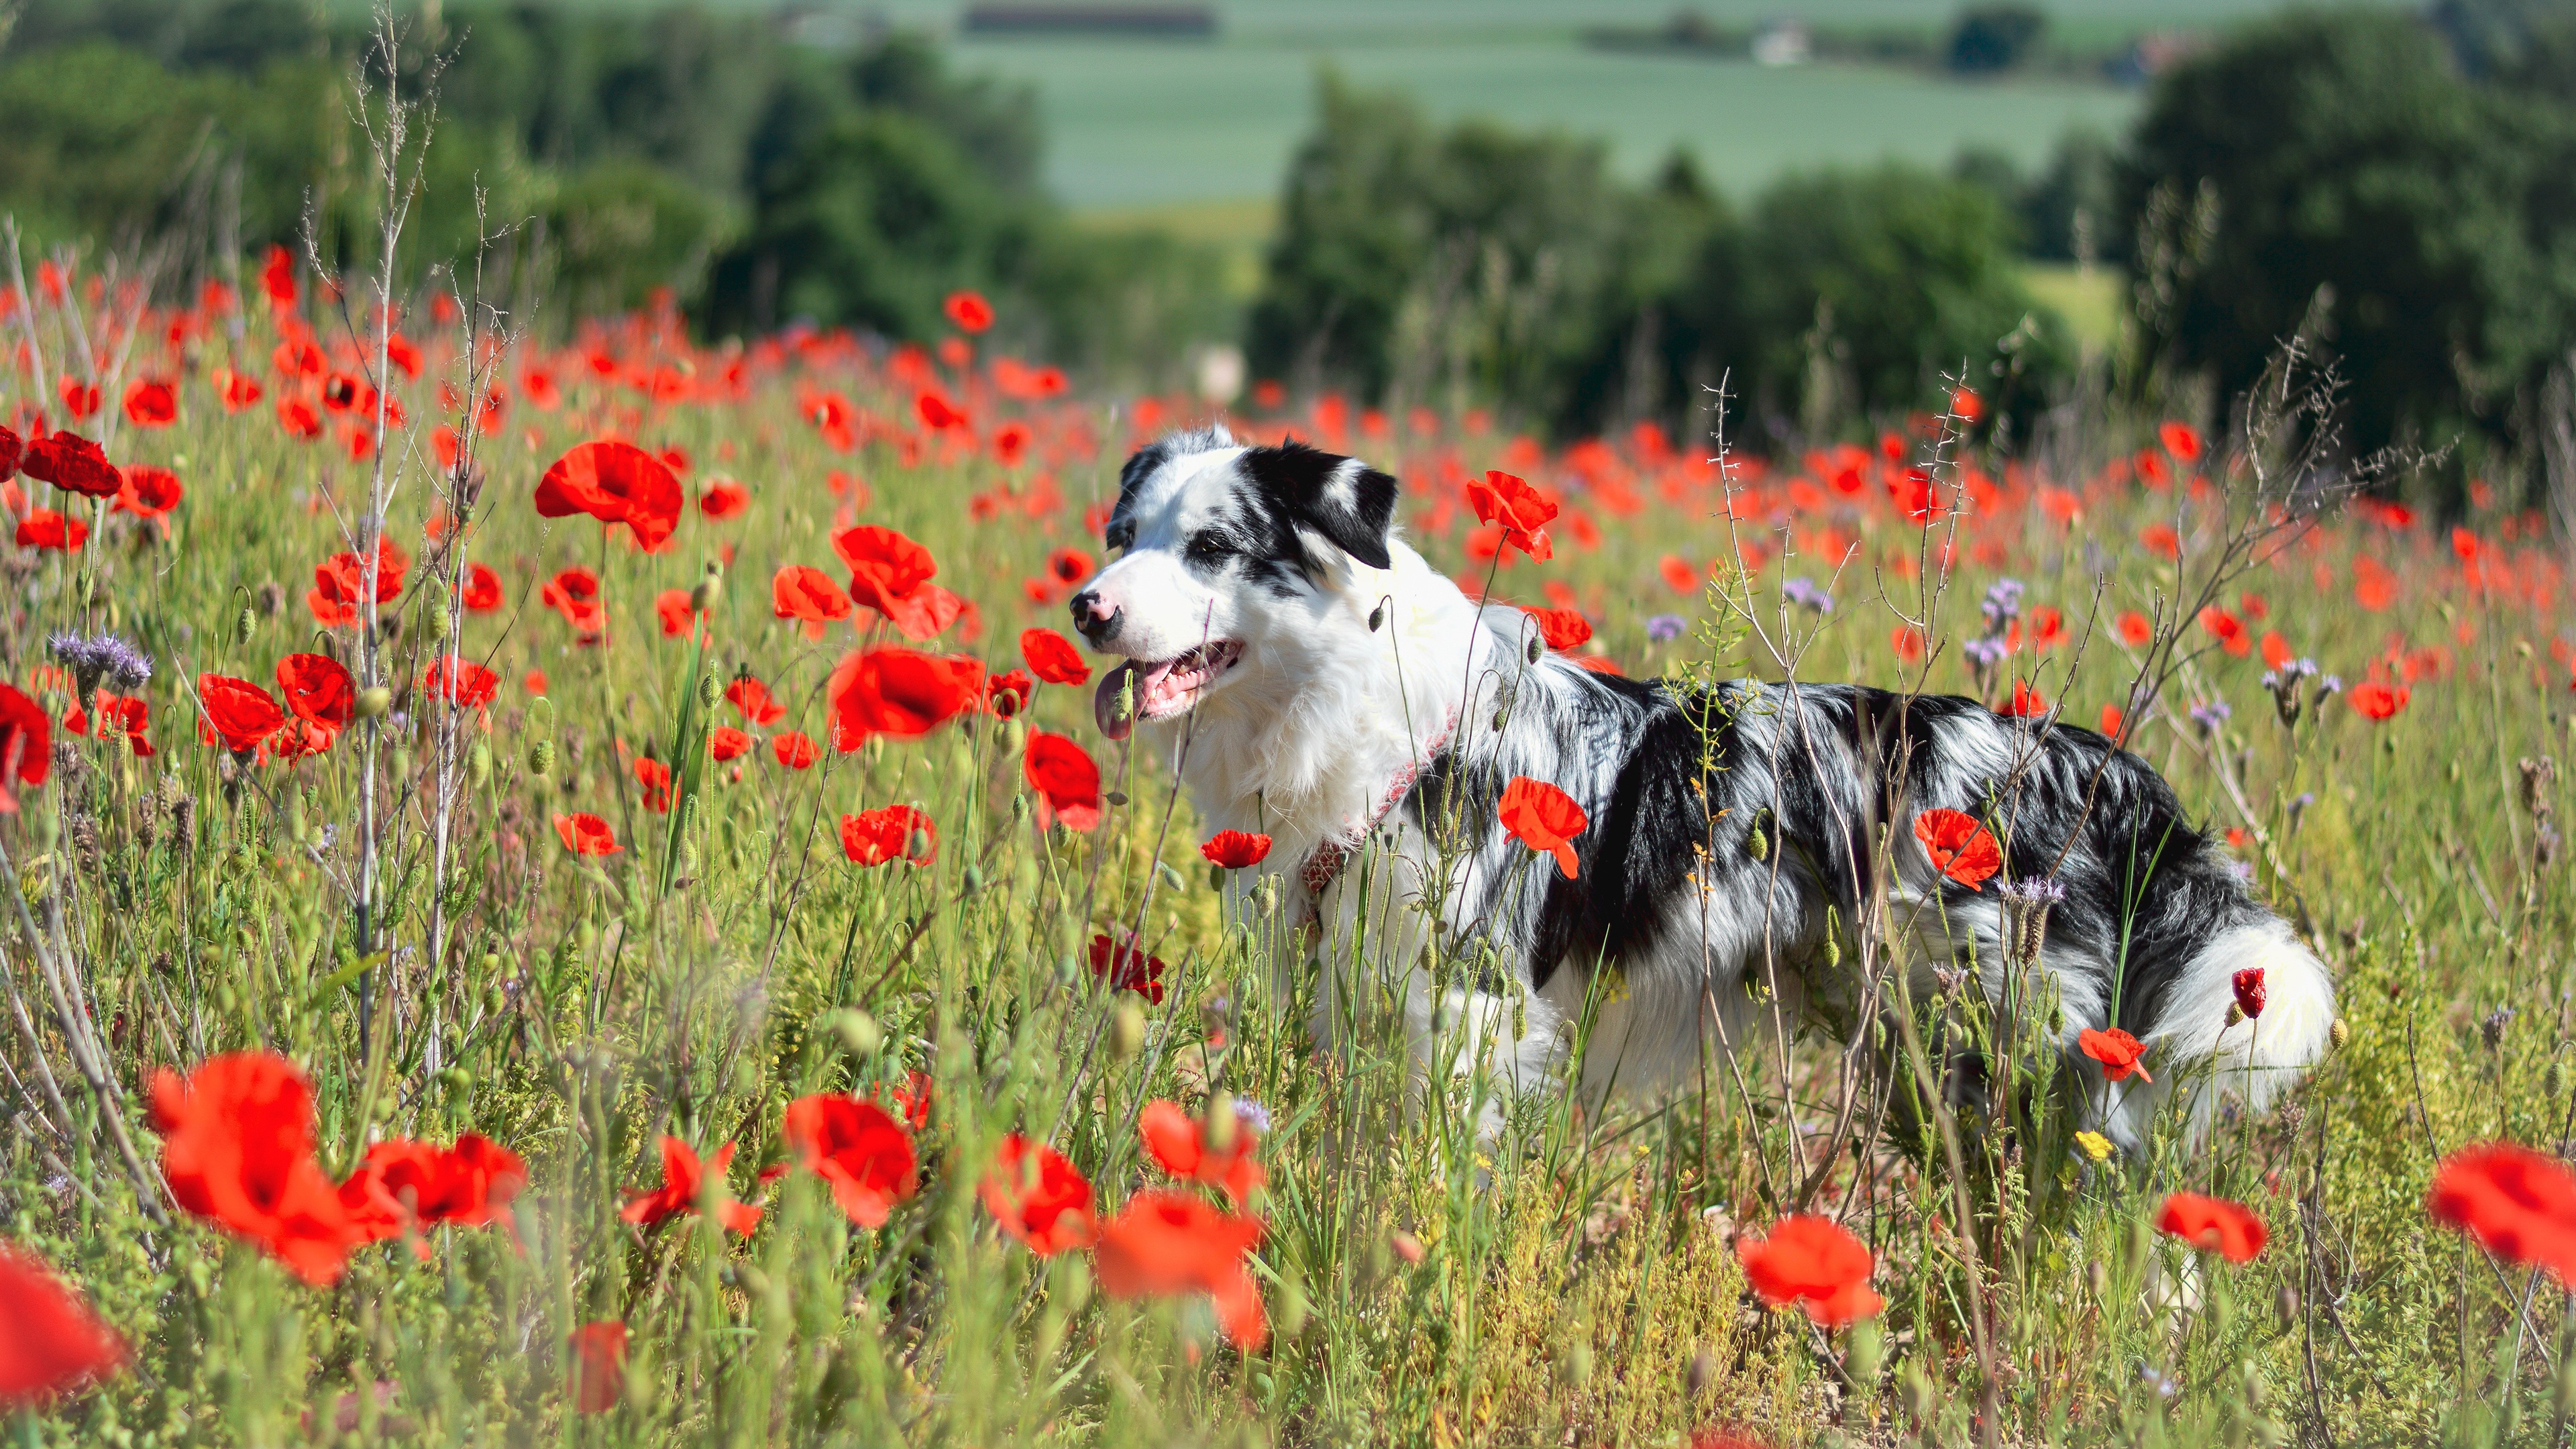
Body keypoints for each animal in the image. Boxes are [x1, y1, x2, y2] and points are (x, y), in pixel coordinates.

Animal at [1066, 423, 2339, 1144]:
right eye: (1123, 534)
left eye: (1212, 549)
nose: (1086, 607)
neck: (1370, 711)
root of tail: (2102, 772)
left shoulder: (1466, 1010)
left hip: (2029, 1051)